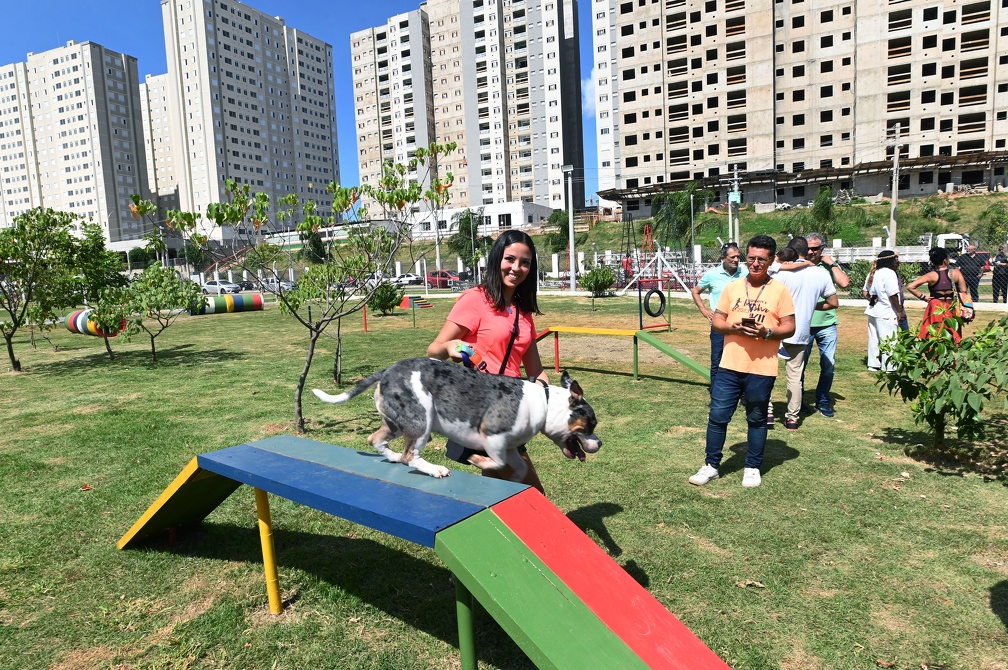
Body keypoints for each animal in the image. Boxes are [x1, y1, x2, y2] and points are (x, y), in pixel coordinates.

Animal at [310, 354, 600, 481]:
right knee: (410, 456)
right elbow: (496, 461)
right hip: (421, 420)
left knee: (376, 440)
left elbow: (519, 467)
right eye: (592, 424)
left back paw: (391, 456)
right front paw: (477, 461)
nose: (600, 443)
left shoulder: (510, 447)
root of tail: (387, 371)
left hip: (395, 422)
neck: (545, 402)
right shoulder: (492, 437)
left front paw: (516, 479)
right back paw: (433, 469)